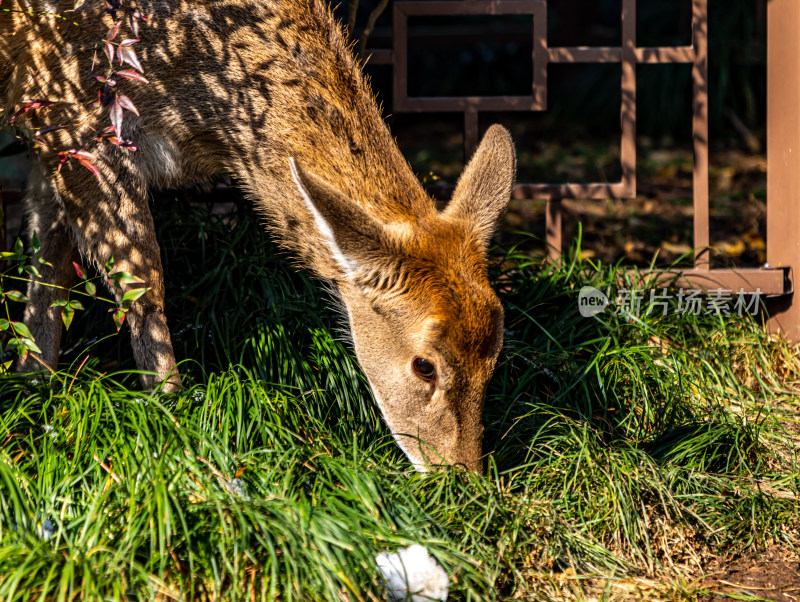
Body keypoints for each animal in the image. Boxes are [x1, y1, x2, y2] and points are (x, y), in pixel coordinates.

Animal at [0, 0, 516, 472]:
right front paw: (173, 415)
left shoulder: (47, 132)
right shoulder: (77, 118)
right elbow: (140, 280)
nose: (462, 473)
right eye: (423, 365)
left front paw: (32, 384)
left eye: (495, 360)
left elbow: (47, 263)